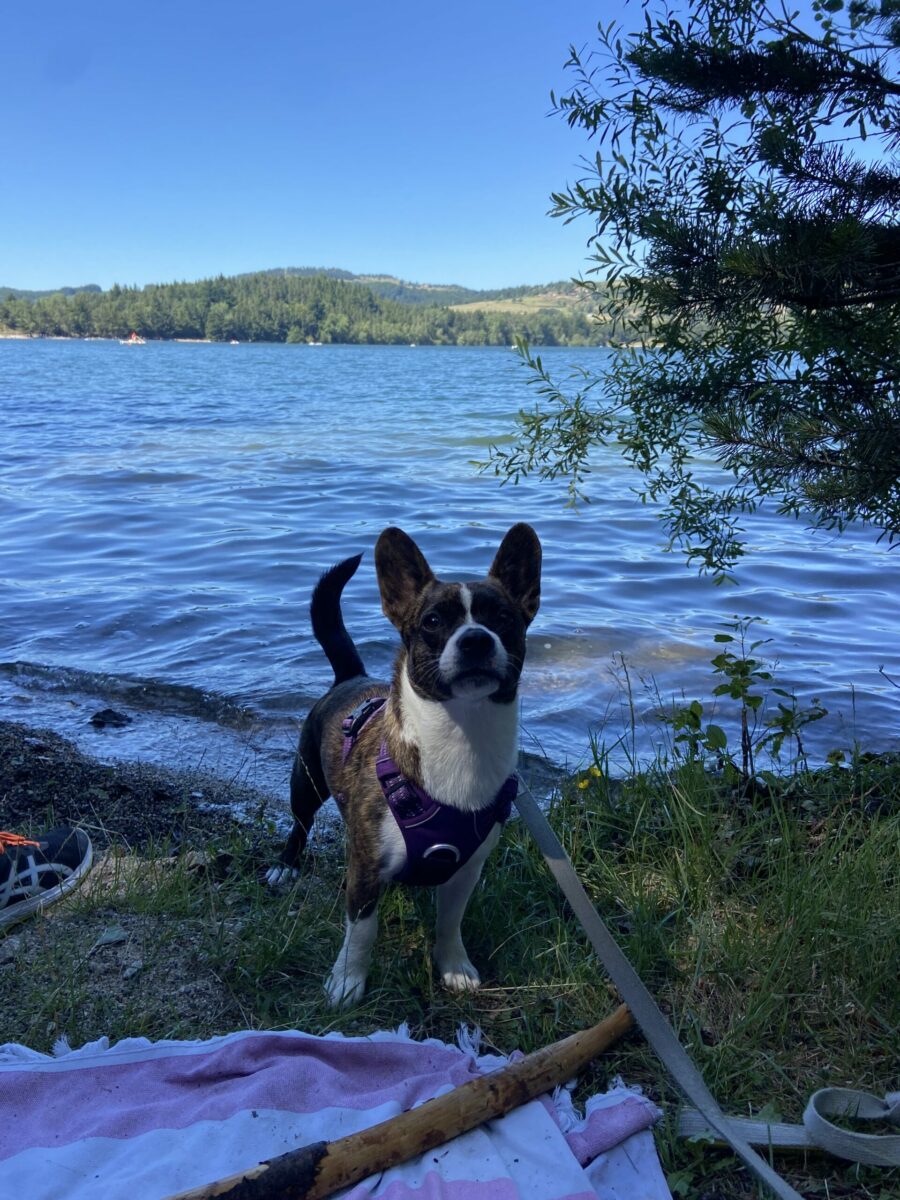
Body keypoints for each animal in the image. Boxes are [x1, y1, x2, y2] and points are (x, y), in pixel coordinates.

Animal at [267, 523, 542, 1003]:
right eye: (432, 621)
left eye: (503, 618)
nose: (475, 639)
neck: (463, 734)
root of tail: (351, 676)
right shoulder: (366, 868)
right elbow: (362, 931)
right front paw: (347, 980)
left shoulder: (466, 871)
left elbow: (450, 922)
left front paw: (454, 965)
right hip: (306, 782)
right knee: (300, 823)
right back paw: (286, 865)